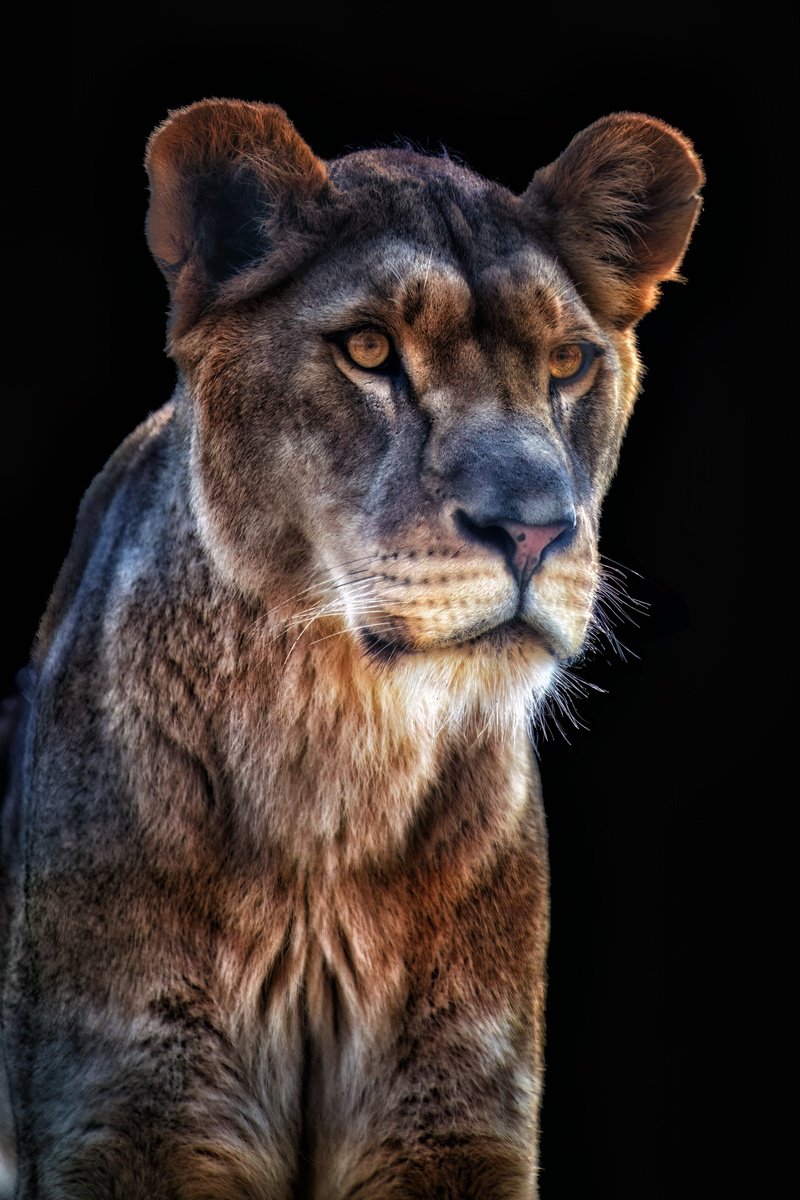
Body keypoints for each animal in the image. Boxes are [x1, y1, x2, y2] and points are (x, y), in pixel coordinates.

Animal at [0, 100, 702, 1198]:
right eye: (368, 350)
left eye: (566, 363)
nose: (534, 530)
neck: (339, 757)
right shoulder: (129, 1112)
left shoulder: (452, 1116)